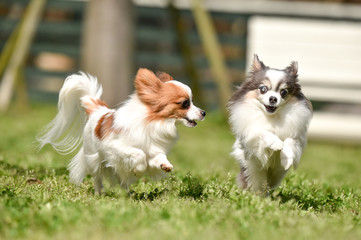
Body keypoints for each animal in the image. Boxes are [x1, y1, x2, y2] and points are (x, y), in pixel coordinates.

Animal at [38, 68, 205, 194]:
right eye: (185, 103)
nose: (203, 112)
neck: (155, 122)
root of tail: (98, 109)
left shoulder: (153, 150)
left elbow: (159, 157)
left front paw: (165, 165)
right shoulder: (115, 147)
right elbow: (139, 154)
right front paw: (139, 170)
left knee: (122, 180)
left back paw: (127, 194)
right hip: (95, 160)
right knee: (97, 178)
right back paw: (99, 193)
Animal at [229, 55, 310, 194]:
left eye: (284, 92)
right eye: (263, 89)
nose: (273, 98)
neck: (272, 117)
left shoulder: (297, 138)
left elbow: (289, 141)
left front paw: (286, 157)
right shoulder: (252, 139)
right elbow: (263, 133)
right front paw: (276, 143)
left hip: (276, 175)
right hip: (253, 170)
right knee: (256, 184)